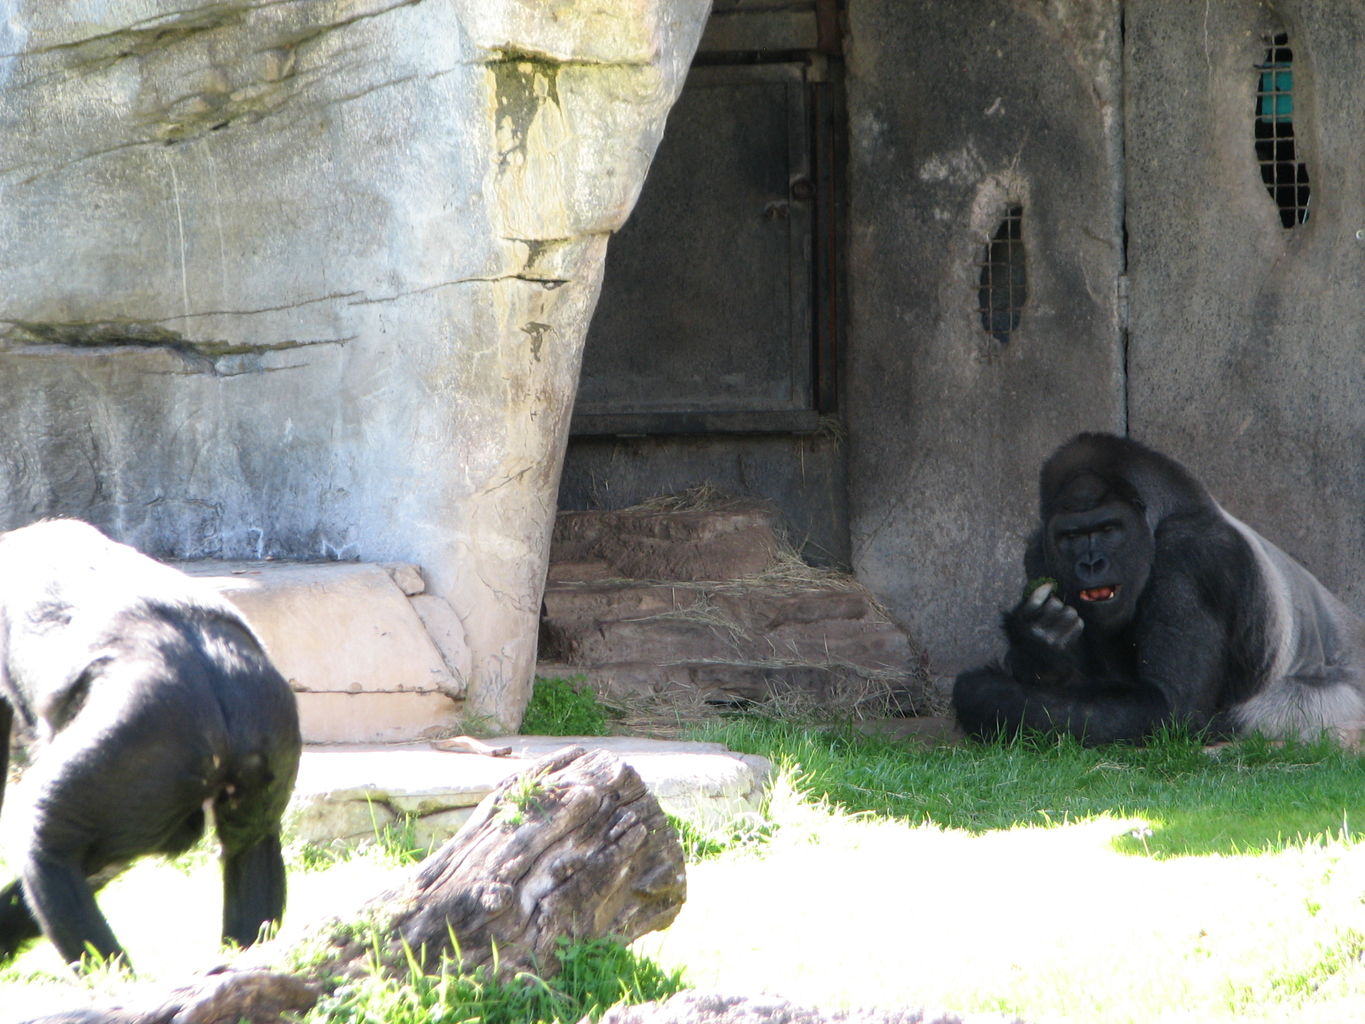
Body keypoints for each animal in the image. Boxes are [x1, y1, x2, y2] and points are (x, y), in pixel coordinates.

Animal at [0, 521, 298, 972]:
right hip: (269, 732)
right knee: (251, 844)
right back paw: (246, 949)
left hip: (140, 741)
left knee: (46, 838)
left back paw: (109, 973)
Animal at [955, 434, 1365, 748]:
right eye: (1071, 536)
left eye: (1108, 529)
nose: (1091, 564)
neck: (1161, 518)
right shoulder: (1039, 550)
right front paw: (1039, 642)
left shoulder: (1189, 555)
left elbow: (1170, 708)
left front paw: (987, 694)